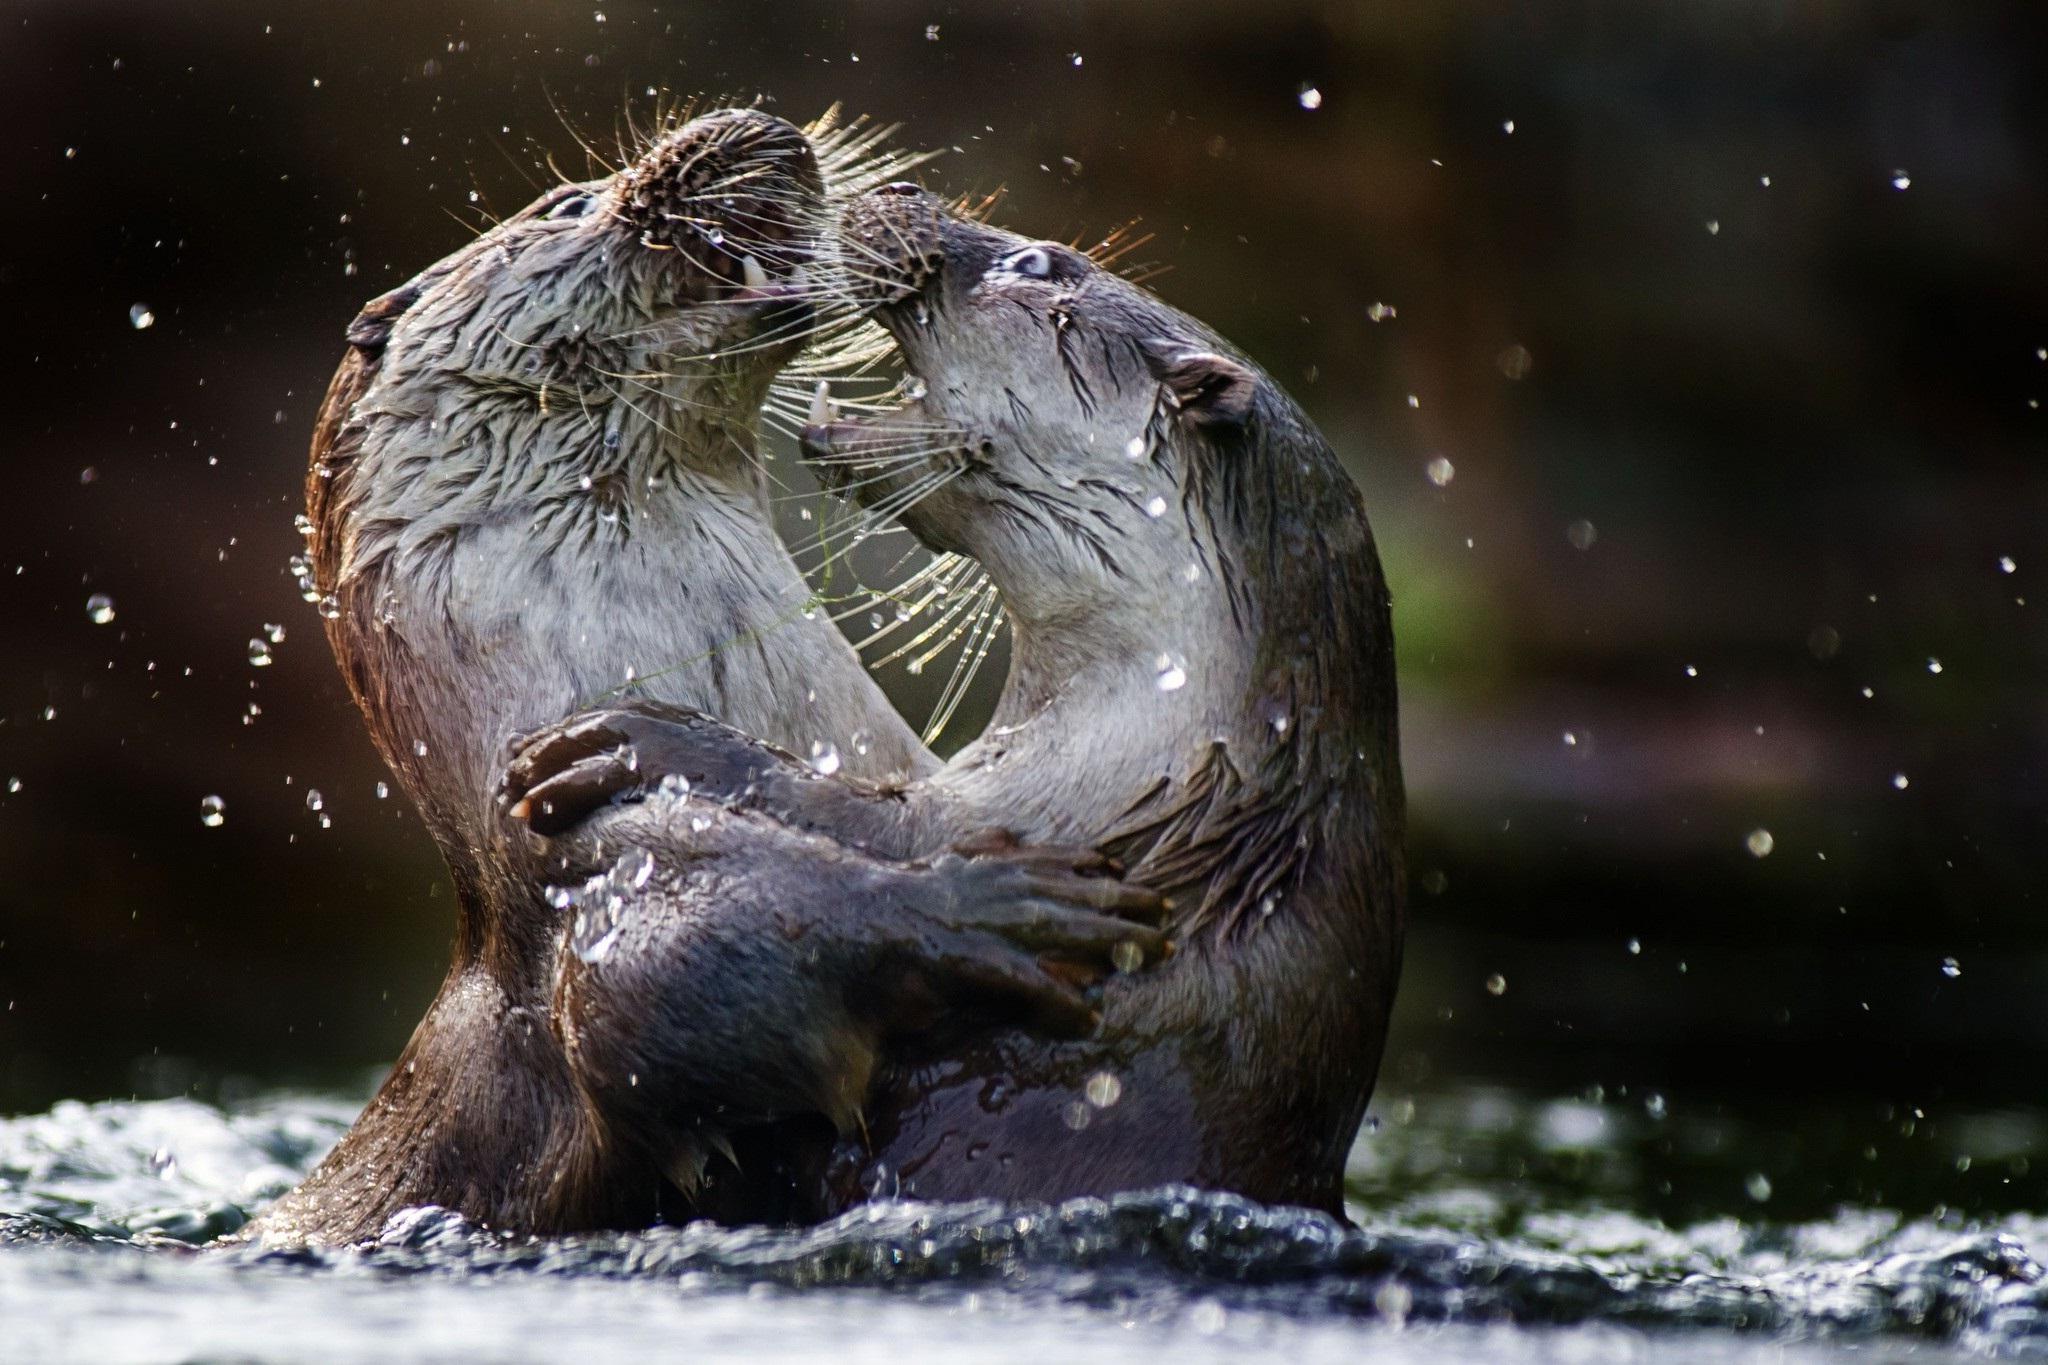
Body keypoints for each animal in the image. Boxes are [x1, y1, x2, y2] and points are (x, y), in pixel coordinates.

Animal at [501, 181, 1400, 1219]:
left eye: (1041, 263)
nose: (902, 193)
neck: (1200, 784)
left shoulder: (1074, 814)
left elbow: (864, 821)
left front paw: (645, 743)